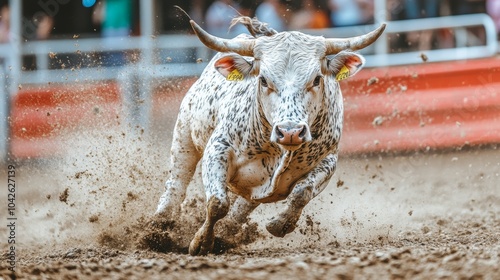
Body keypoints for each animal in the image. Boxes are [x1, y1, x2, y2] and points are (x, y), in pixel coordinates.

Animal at [156, 15, 386, 256]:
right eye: (264, 80)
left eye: (316, 79)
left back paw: (227, 232)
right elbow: (218, 203)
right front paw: (201, 242)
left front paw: (280, 224)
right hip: (184, 136)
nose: (290, 132)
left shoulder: (328, 161)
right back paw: (158, 229)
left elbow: (302, 192)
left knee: (243, 206)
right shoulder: (218, 148)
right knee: (176, 184)